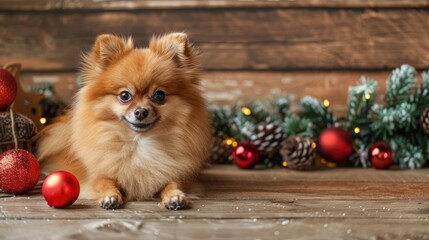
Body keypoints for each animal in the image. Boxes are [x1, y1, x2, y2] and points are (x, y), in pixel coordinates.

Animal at [36, 32, 211, 210]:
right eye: (125, 95)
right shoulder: (98, 175)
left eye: (159, 96)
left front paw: (175, 196)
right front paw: (110, 196)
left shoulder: (174, 173)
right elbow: (105, 182)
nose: (141, 112)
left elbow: (173, 183)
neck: (139, 144)